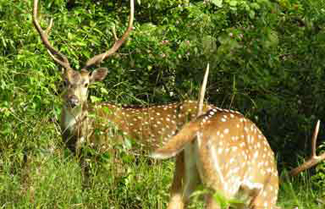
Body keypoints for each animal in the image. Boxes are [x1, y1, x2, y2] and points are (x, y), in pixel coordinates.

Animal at [32, 0, 213, 208]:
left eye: (86, 84)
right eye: (64, 81)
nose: (73, 101)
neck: (82, 135)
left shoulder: (115, 156)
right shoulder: (84, 164)